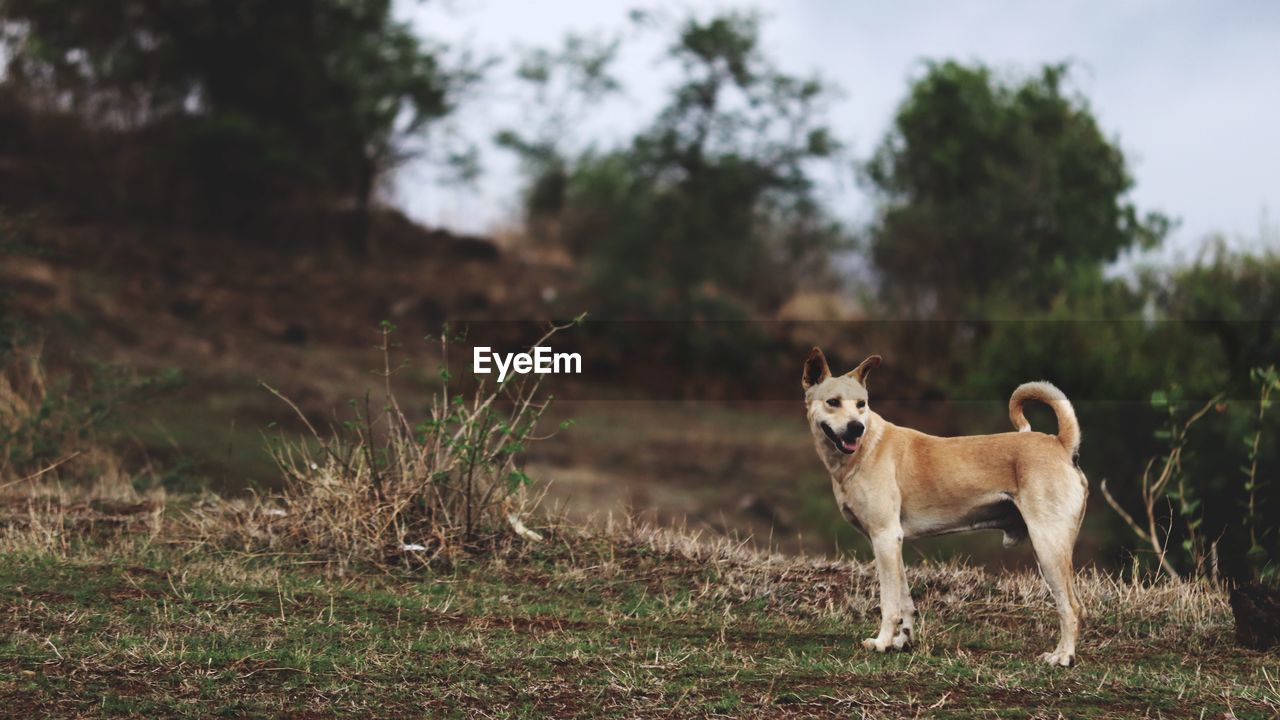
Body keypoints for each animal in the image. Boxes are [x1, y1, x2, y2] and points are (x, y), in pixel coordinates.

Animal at [798, 345, 1090, 666]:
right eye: (833, 402)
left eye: (861, 404)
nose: (855, 428)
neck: (866, 448)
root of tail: (1061, 444)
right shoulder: (892, 542)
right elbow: (905, 601)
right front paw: (903, 641)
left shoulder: (884, 537)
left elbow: (889, 604)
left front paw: (882, 642)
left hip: (1048, 545)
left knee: (1071, 607)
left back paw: (1062, 657)